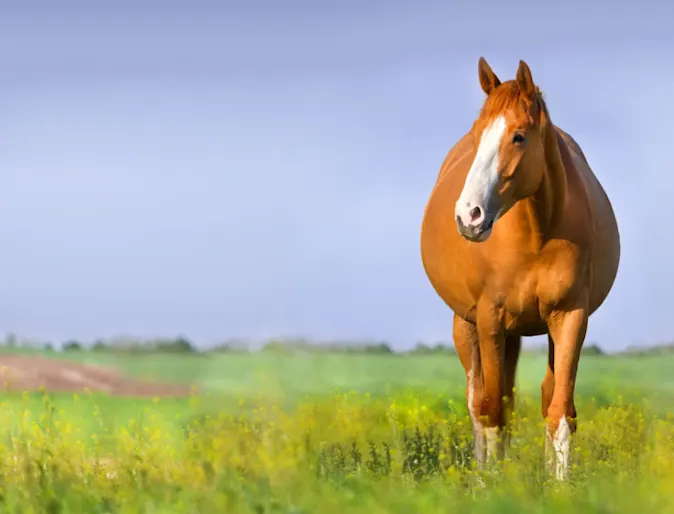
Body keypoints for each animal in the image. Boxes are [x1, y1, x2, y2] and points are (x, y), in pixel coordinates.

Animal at [420, 57, 620, 480]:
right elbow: (492, 411)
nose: (468, 216)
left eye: (519, 137)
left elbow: (559, 411)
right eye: (477, 134)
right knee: (478, 403)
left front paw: (558, 485)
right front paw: (493, 484)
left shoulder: (570, 317)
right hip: (467, 327)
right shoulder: (490, 320)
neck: (535, 234)